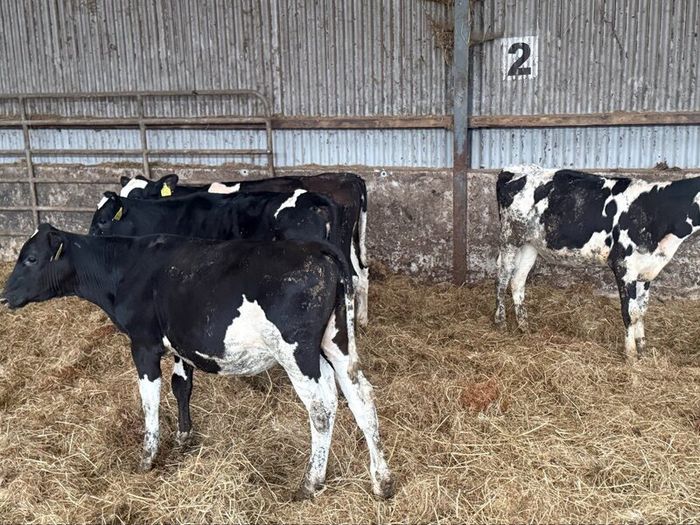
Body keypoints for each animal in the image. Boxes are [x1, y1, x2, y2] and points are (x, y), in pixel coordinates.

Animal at [1, 224, 395, 500]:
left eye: (31, 258)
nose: (5, 294)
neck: (126, 266)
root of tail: (318, 248)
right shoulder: (181, 344)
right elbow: (182, 386)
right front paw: (184, 436)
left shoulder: (144, 344)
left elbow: (150, 399)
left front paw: (147, 457)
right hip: (337, 342)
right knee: (361, 396)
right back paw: (382, 481)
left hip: (297, 352)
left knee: (322, 407)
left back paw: (311, 483)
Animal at [118, 173, 370, 326]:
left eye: (139, 196)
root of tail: (349, 177)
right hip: (347, 245)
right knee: (361, 274)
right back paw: (362, 320)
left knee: (352, 278)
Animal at [495, 164, 700, 360]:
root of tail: (512, 170)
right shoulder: (623, 266)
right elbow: (629, 312)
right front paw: (631, 354)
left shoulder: (646, 269)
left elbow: (641, 311)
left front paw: (642, 349)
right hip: (509, 239)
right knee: (502, 279)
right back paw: (500, 322)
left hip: (530, 245)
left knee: (517, 281)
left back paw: (524, 326)